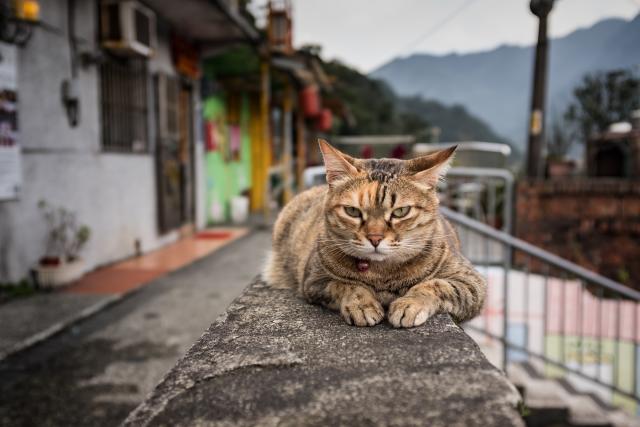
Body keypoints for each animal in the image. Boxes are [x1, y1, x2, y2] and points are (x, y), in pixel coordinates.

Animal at [264, 140, 484, 328]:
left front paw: (409, 304)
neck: (382, 275)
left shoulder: (471, 283)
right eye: (352, 211)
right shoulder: (314, 280)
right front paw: (362, 304)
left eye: (400, 211)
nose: (375, 239)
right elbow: (346, 285)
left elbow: (436, 285)